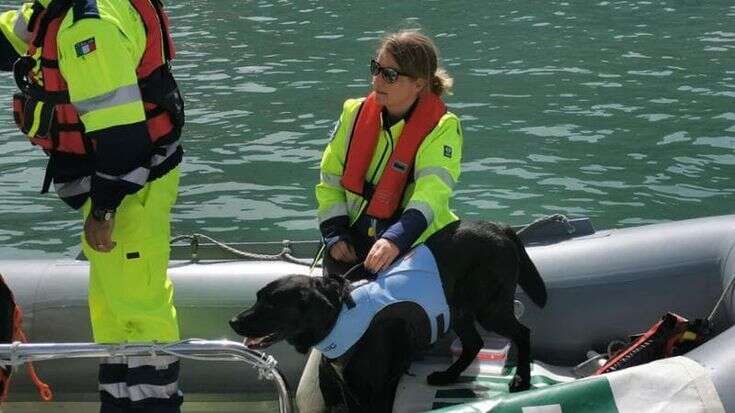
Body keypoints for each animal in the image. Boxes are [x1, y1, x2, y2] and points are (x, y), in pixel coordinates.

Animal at [230, 219, 548, 408]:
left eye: (271, 303)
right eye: (257, 297)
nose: (233, 322)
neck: (341, 315)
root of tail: (502, 228)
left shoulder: (378, 388)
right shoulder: (348, 387)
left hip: (490, 308)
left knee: (522, 332)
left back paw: (521, 380)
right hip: (458, 310)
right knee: (474, 343)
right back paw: (447, 376)